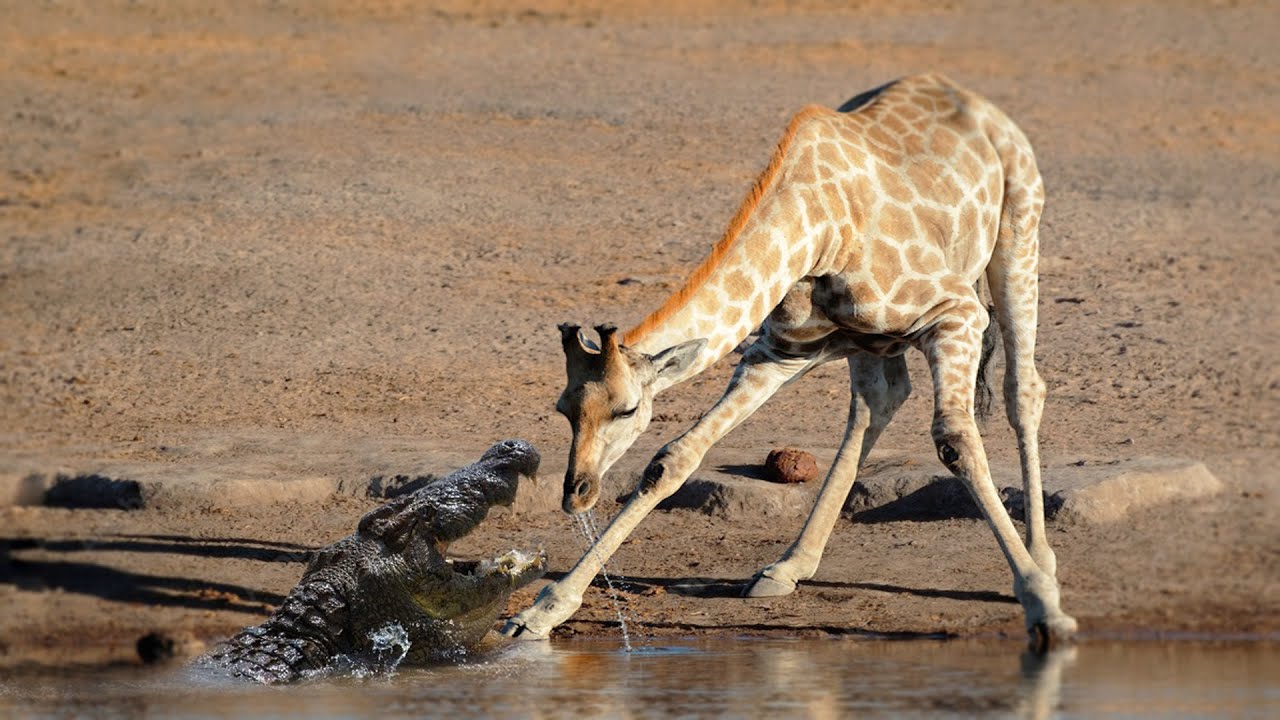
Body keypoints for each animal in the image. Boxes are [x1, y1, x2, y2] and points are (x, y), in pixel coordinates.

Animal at [502, 73, 1077, 648]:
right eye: (562, 409)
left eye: (624, 410)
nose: (576, 493)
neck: (818, 231)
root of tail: (969, 98)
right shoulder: (776, 353)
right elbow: (673, 458)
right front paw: (540, 612)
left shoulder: (955, 314)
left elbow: (956, 442)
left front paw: (1043, 605)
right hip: (867, 344)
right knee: (879, 402)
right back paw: (788, 565)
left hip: (1018, 236)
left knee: (1022, 389)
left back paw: (1043, 560)